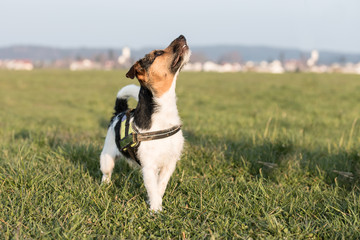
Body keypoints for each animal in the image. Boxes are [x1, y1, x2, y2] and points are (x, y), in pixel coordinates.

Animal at [100, 34, 190, 211]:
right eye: (158, 53)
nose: (182, 35)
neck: (163, 114)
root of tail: (119, 112)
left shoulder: (169, 163)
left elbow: (160, 186)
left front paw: (157, 203)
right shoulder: (149, 167)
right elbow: (153, 189)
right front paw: (156, 211)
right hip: (106, 158)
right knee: (106, 173)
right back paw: (105, 186)